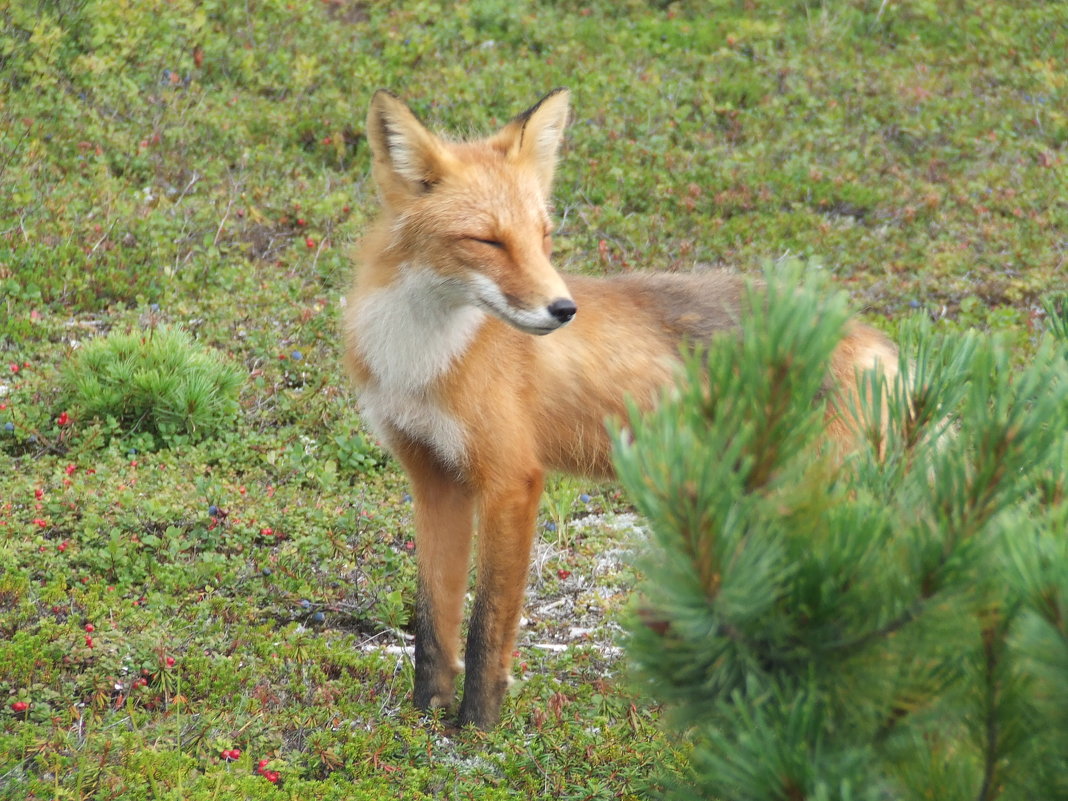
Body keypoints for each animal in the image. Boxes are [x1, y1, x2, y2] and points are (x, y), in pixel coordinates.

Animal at [339, 89, 892, 734]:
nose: (563, 310)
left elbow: (486, 625)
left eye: (543, 236)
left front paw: (476, 726)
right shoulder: (433, 476)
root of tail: (873, 338)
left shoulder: (511, 480)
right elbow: (433, 619)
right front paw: (424, 717)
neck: (422, 357)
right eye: (488, 241)